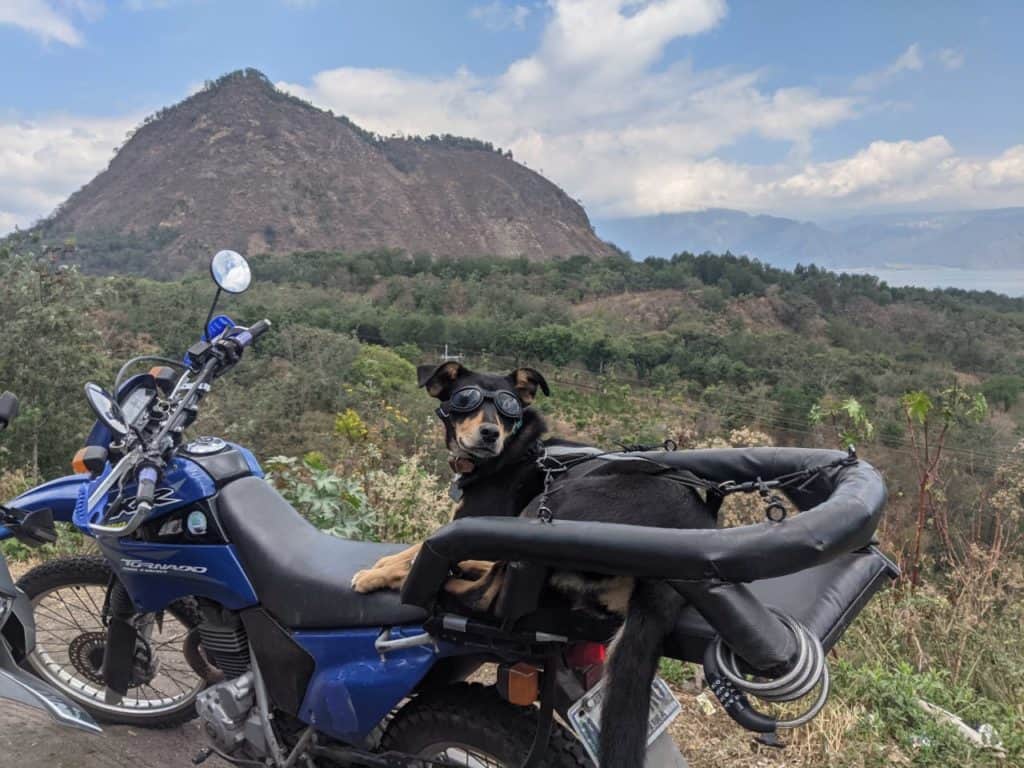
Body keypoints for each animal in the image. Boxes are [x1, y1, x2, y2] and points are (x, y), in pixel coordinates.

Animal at [350, 362, 712, 768]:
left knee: (486, 592)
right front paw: (382, 563)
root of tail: (690, 533)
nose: (490, 433)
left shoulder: (477, 522)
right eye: (465, 398)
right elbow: (415, 546)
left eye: (508, 408)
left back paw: (446, 583)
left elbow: (423, 546)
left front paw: (374, 575)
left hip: (546, 504)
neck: (513, 452)